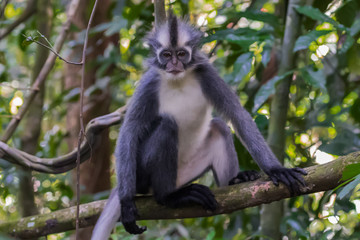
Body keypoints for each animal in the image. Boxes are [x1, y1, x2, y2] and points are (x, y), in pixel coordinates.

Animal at [90, 15, 306, 240]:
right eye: (166, 55)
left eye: (181, 54)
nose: (174, 64)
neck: (179, 79)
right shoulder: (149, 83)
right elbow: (130, 131)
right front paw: (126, 204)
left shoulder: (206, 74)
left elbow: (237, 115)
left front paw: (276, 169)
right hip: (140, 174)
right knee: (167, 125)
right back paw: (168, 196)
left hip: (187, 171)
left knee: (219, 126)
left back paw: (234, 181)